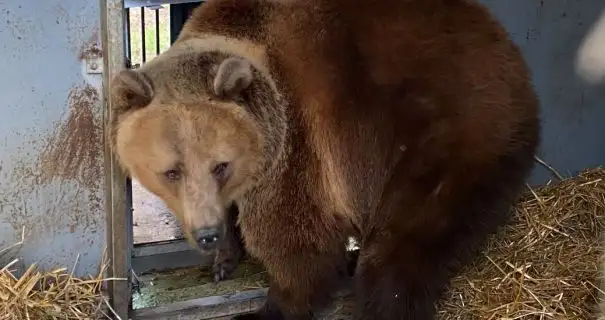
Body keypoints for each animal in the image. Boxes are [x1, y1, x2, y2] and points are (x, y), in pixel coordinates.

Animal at [107, 0, 536, 318]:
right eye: (171, 171)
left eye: (220, 165)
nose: (206, 233)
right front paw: (224, 259)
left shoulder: (300, 142)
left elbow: (296, 241)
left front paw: (273, 305)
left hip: (443, 134)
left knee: (407, 239)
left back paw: (378, 299)